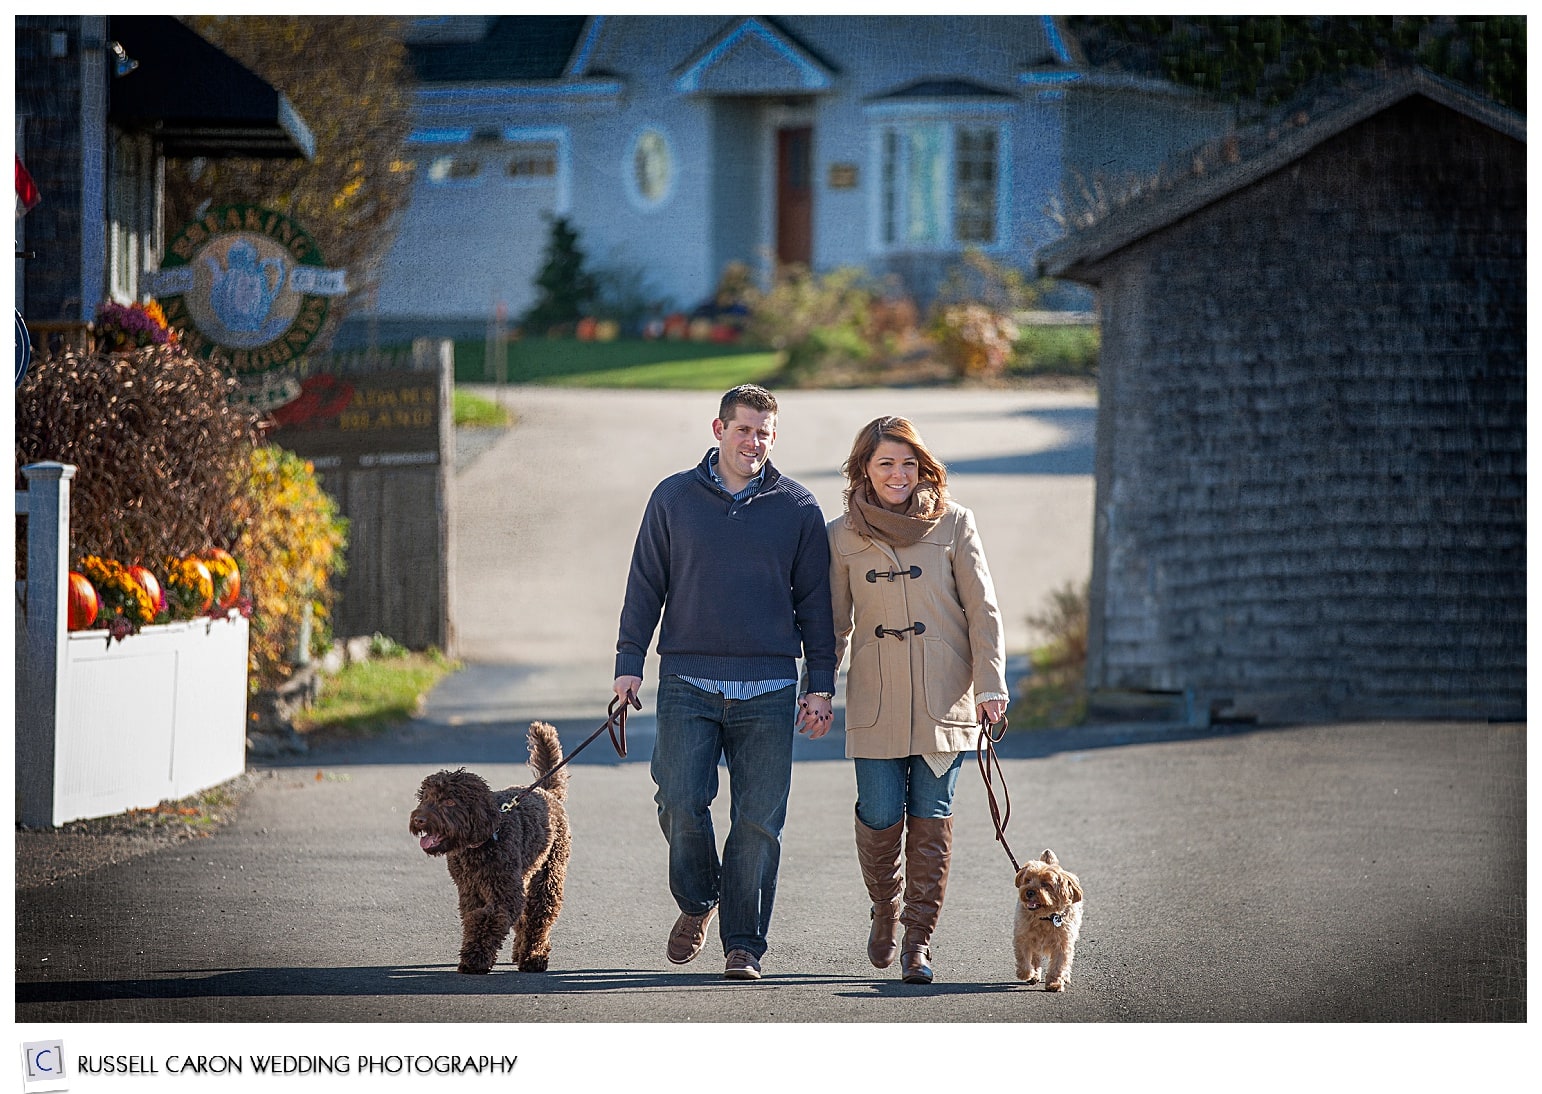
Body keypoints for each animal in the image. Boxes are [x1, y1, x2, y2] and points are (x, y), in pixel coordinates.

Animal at [410, 722, 573, 969]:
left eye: (449, 801)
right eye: (426, 798)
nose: (419, 819)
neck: (480, 842)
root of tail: (547, 792)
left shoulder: (504, 893)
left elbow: (487, 919)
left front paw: (474, 959)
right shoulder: (469, 891)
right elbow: (474, 918)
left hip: (549, 873)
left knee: (539, 916)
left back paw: (533, 956)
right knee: (527, 917)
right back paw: (520, 951)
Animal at [1011, 845, 1085, 987]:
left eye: (1046, 884)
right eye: (1028, 880)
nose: (1029, 892)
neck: (1045, 918)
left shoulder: (1063, 943)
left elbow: (1058, 965)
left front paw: (1054, 983)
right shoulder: (1023, 937)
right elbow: (1024, 958)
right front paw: (1026, 974)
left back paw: (1065, 977)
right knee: (1035, 958)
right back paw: (1034, 975)